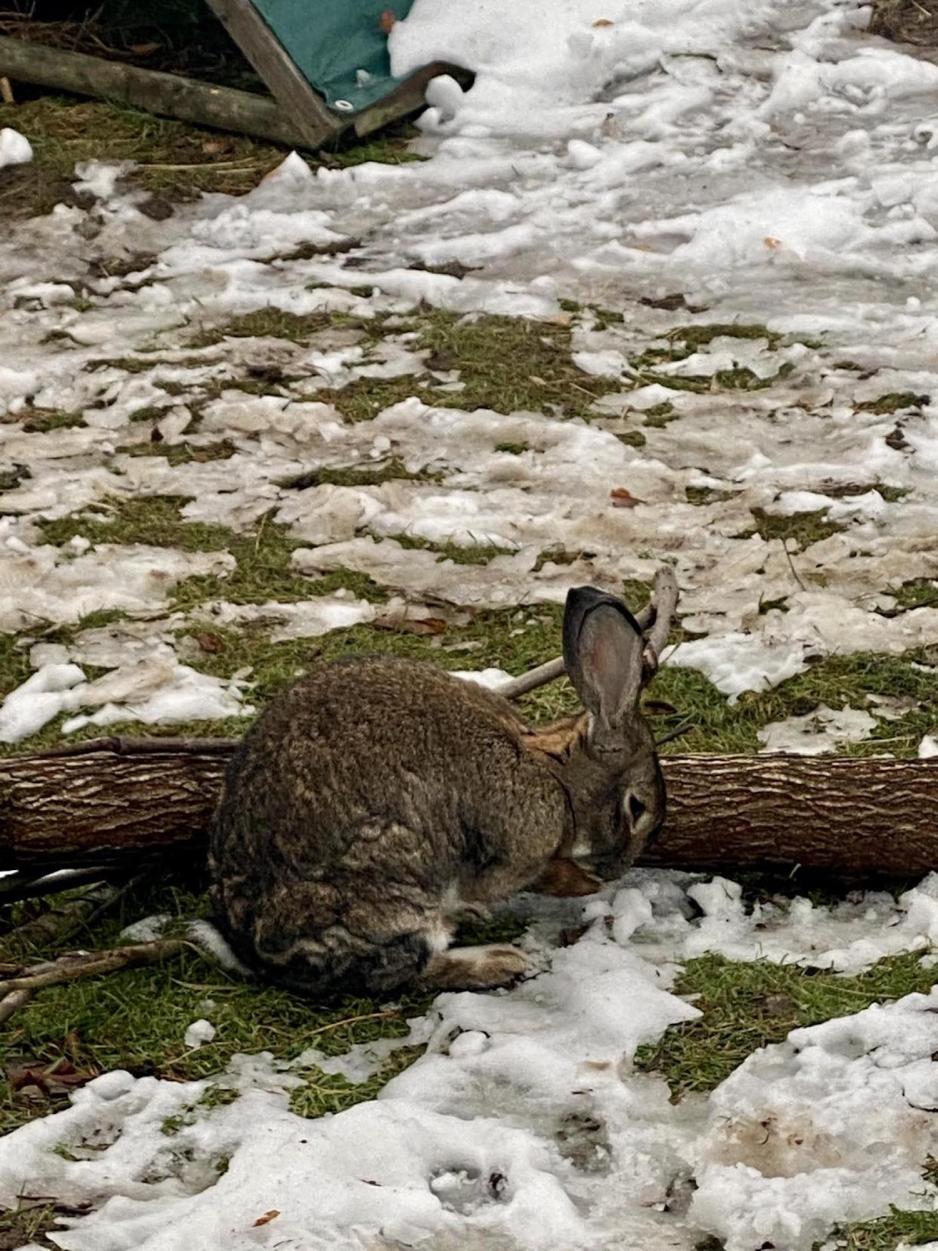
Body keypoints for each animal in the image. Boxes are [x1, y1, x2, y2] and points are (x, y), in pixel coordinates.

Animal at [207, 572, 675, 995]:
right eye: (637, 807)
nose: (617, 871)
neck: (556, 775)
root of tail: (250, 944)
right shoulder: (520, 849)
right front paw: (583, 884)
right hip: (393, 896)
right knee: (395, 973)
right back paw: (496, 961)